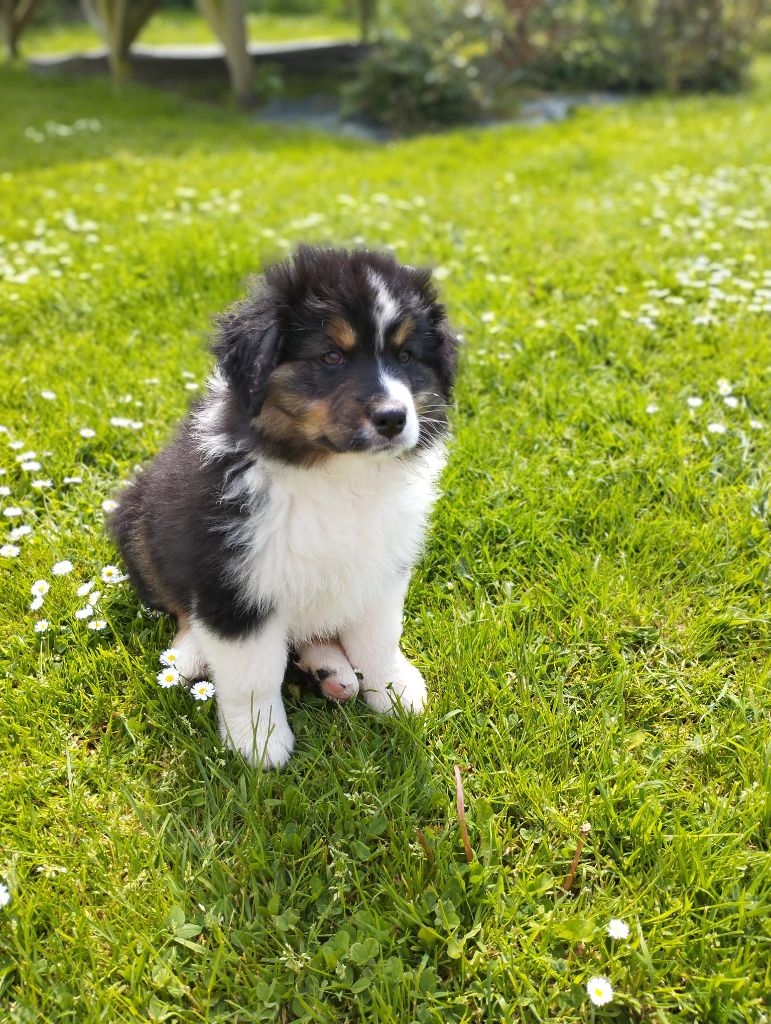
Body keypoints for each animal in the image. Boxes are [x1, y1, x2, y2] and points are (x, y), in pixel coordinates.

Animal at [110, 245, 457, 768]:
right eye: (330, 356)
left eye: (406, 356)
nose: (394, 418)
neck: (335, 475)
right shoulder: (233, 579)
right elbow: (254, 674)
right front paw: (258, 740)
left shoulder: (382, 561)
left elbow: (379, 635)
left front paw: (395, 689)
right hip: (141, 524)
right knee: (180, 606)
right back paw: (189, 654)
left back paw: (331, 670)